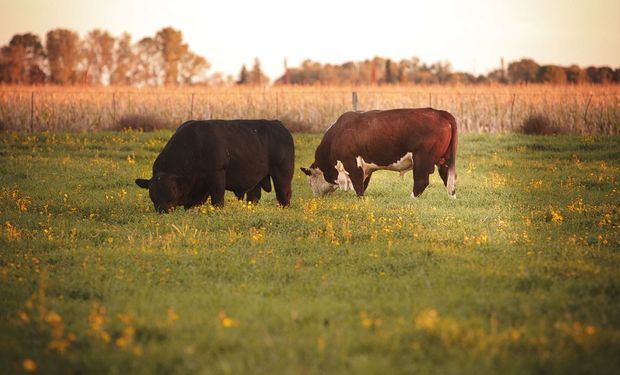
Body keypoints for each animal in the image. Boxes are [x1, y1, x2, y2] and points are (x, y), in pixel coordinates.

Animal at [135, 121, 294, 214]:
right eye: (153, 194)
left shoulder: (217, 175)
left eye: (172, 191)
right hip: (256, 180)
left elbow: (217, 200)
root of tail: (278, 125)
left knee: (284, 197)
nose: (164, 211)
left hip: (282, 174)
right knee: (253, 197)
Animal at [300, 108, 456, 200]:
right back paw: (451, 198)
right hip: (444, 160)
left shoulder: (351, 162)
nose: (315, 197)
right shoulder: (365, 168)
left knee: (421, 181)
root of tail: (440, 112)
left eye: (309, 181)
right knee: (448, 179)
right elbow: (363, 183)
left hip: (422, 160)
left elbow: (358, 184)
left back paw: (411, 199)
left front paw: (360, 200)